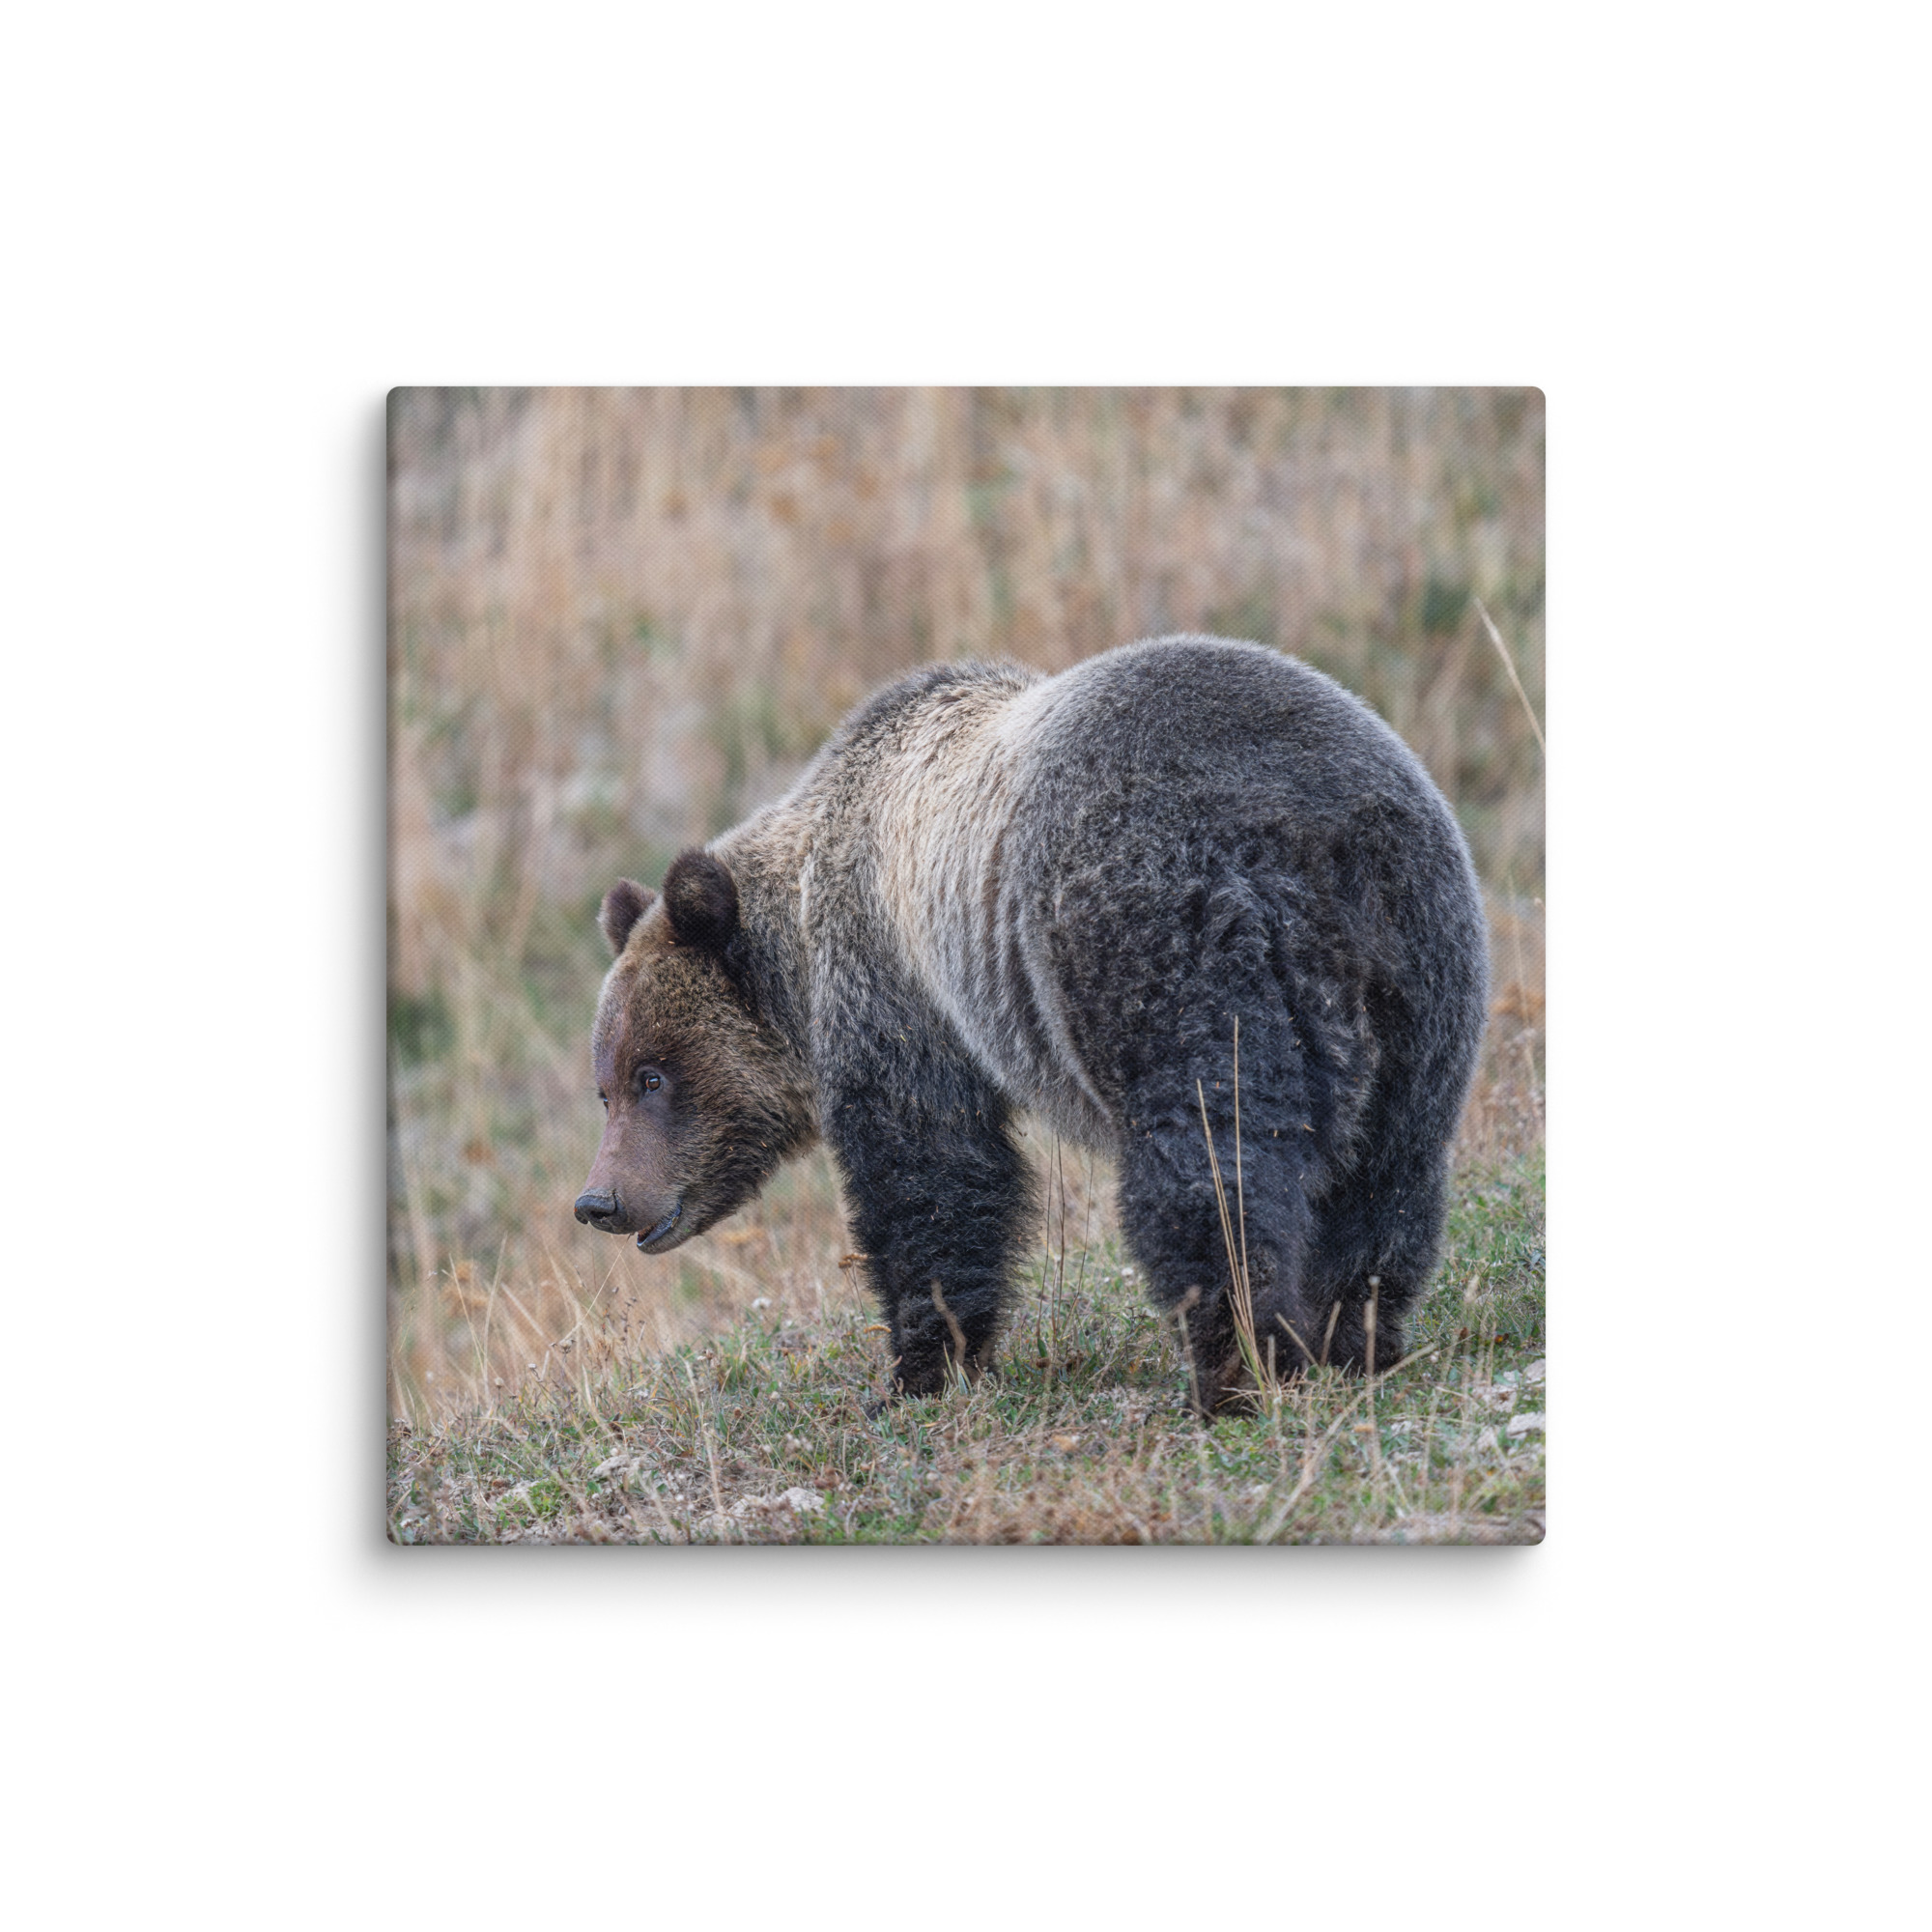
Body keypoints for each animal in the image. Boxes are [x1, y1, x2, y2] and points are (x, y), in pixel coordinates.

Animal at [574, 634, 1489, 1413]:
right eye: (605, 1086)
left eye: (653, 1075)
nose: (599, 1200)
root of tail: (1311, 835)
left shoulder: (898, 987)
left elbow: (931, 1173)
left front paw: (918, 1370)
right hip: (1421, 966)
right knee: (1389, 1170)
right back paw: (1353, 1338)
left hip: (1162, 940)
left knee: (1211, 1165)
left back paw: (1235, 1369)